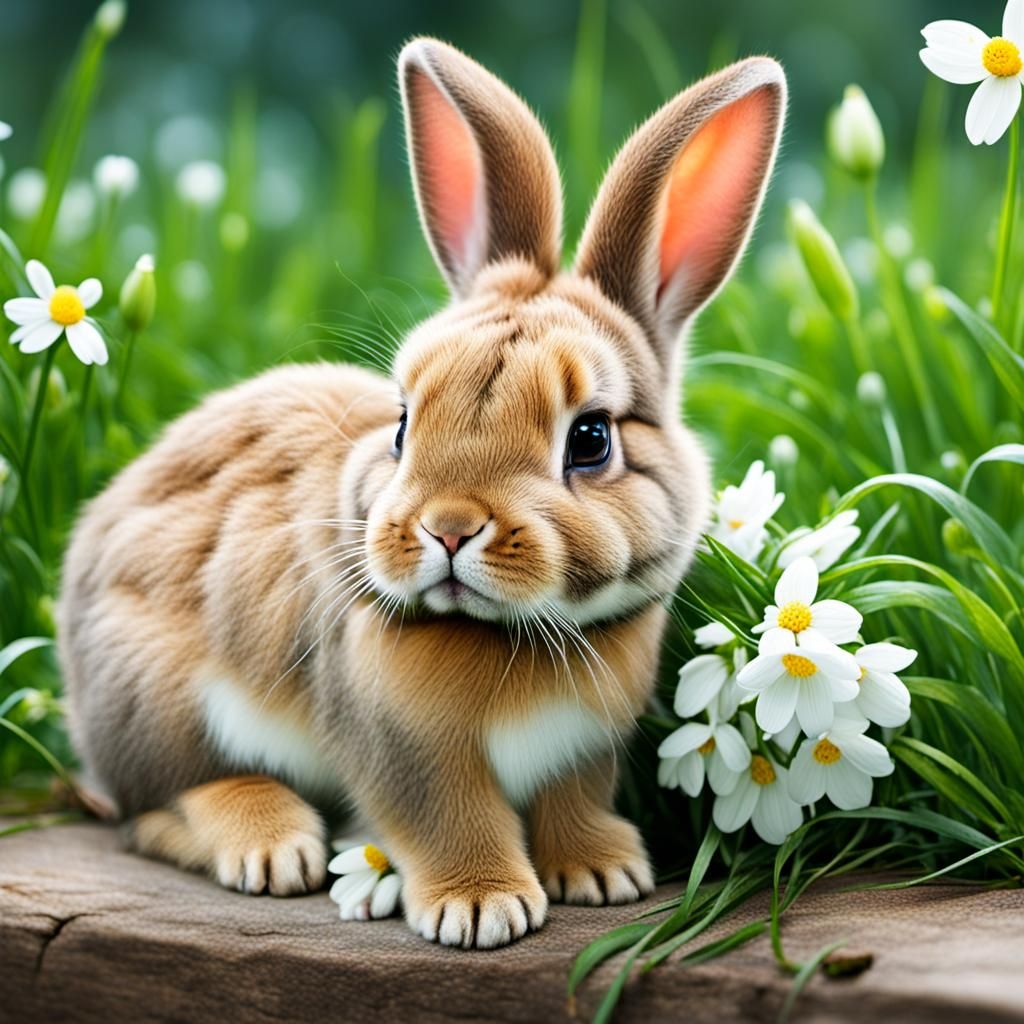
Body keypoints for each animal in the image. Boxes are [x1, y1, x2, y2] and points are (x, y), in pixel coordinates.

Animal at [57, 37, 785, 949]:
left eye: (590, 440)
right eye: (402, 423)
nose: (448, 528)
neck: (511, 634)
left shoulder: (584, 752)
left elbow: (572, 804)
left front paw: (601, 875)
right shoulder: (405, 749)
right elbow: (447, 818)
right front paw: (481, 910)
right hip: (158, 702)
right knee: (158, 805)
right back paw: (273, 847)